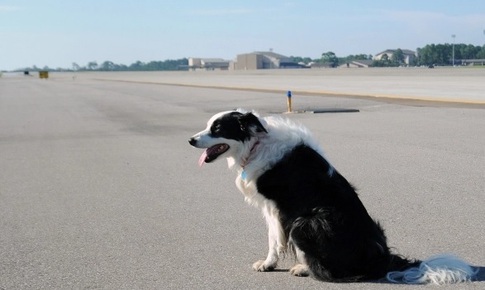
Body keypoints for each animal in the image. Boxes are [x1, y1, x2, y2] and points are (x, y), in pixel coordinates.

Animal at [187, 110, 474, 284]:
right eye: (208, 126)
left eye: (217, 128)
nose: (190, 140)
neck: (256, 143)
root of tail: (382, 257)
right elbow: (274, 239)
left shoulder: (276, 208)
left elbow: (274, 240)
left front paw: (269, 264)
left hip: (306, 221)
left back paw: (305, 268)